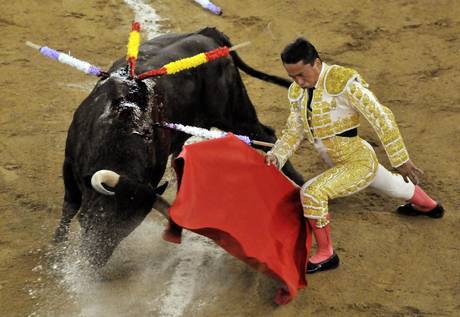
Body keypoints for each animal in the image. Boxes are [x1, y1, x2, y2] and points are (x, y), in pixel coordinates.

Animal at [54, 27, 304, 266]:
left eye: (126, 230)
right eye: (101, 213)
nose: (93, 261)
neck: (119, 130)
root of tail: (208, 34)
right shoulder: (68, 164)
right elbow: (70, 206)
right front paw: (56, 252)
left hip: (235, 115)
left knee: (267, 135)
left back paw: (300, 185)